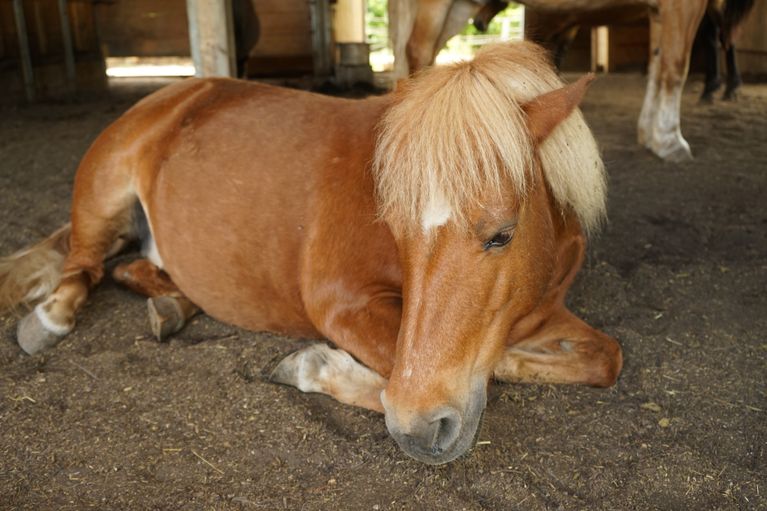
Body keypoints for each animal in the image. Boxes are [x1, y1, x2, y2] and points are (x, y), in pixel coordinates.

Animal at [0, 42, 624, 466]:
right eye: (397, 230)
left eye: (502, 234)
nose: (420, 431)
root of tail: (177, 92)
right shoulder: (342, 305)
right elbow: (426, 375)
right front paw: (317, 367)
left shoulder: (542, 317)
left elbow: (602, 359)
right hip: (104, 194)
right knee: (82, 264)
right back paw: (50, 319)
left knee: (129, 268)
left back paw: (174, 306)